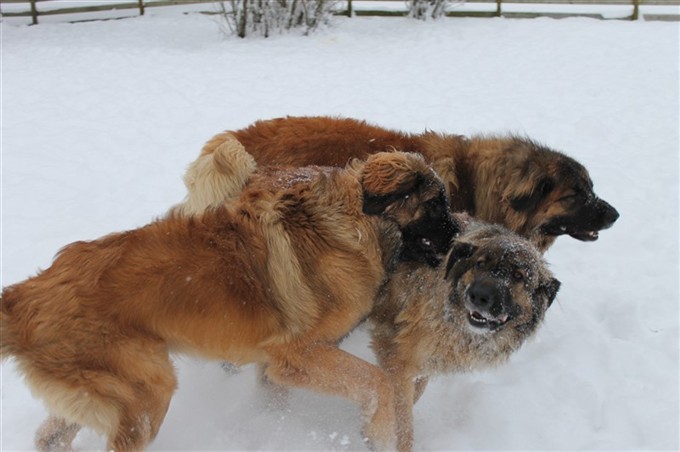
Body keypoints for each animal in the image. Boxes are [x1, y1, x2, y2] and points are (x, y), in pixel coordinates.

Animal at [1, 147, 456, 448]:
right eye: (438, 206)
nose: (462, 244)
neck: (359, 222)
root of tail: (25, 296)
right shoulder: (297, 355)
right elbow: (378, 382)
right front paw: (379, 433)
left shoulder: (277, 369)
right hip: (147, 395)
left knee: (48, 436)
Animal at [370, 214, 560, 450]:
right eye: (480, 264)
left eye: (518, 276)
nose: (479, 296)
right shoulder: (395, 355)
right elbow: (403, 420)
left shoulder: (426, 360)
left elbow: (415, 391)